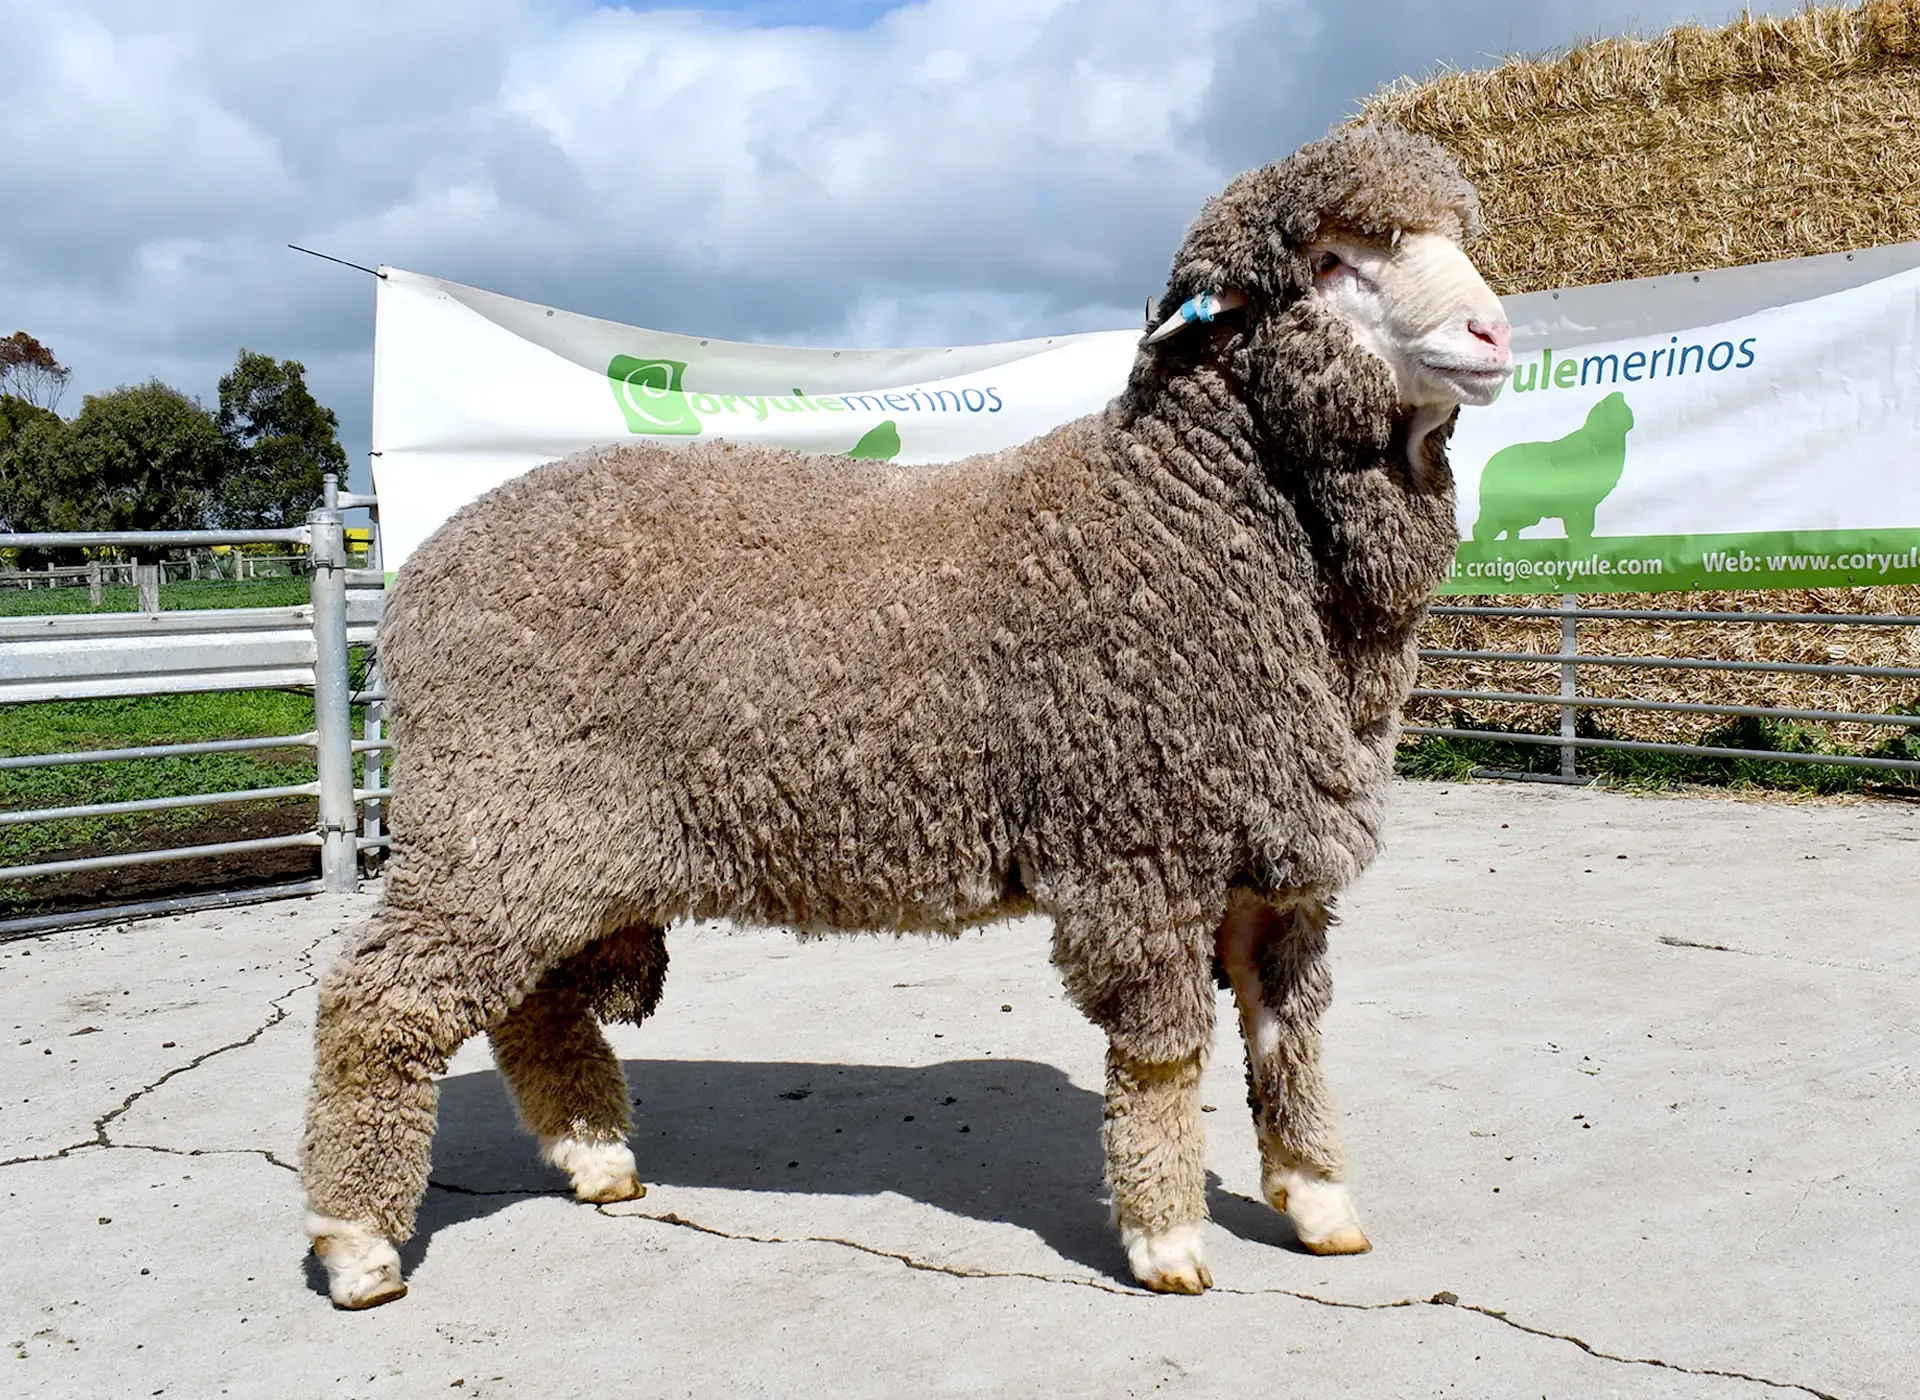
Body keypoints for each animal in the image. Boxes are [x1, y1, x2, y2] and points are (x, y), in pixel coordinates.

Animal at [302, 122, 1512, 1309]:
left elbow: (1288, 1040)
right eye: (1334, 262)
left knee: (531, 1000)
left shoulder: (1271, 856)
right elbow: (1166, 1056)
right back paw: (357, 1244)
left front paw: (1319, 1202)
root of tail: (425, 567)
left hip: (551, 841)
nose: (1493, 332)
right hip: (495, 812)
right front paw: (1167, 1237)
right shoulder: (1146, 848)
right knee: (377, 1001)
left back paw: (596, 1158)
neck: (1187, 518)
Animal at [1472, 390, 1635, 549]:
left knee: (1508, 529)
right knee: (1482, 528)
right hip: (1507, 506)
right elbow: (1577, 528)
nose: (1618, 395)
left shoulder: (1588, 506)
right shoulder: (1575, 503)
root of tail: (1487, 468)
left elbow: (1587, 528)